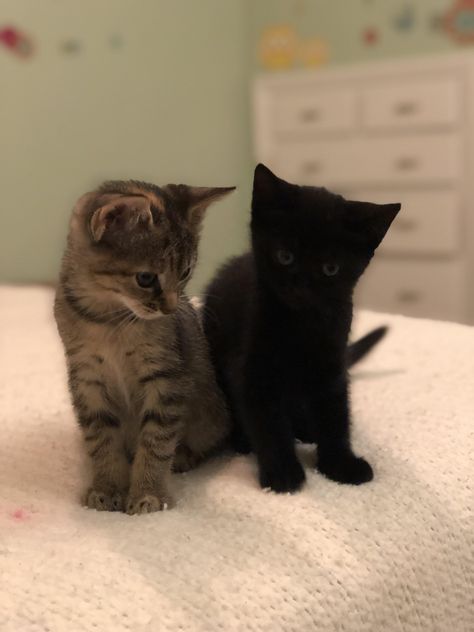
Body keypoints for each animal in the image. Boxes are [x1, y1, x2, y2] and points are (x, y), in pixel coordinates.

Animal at [55, 178, 233, 512]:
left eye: (185, 273)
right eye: (146, 278)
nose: (172, 308)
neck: (110, 320)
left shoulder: (166, 379)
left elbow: (156, 442)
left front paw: (147, 494)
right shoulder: (87, 378)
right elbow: (101, 440)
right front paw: (107, 487)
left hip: (210, 415)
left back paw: (184, 456)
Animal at [204, 163, 400, 494]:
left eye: (330, 269)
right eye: (285, 256)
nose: (300, 287)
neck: (303, 325)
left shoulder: (332, 365)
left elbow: (336, 416)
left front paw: (340, 465)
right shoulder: (253, 370)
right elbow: (269, 423)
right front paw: (282, 473)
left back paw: (307, 429)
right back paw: (245, 441)